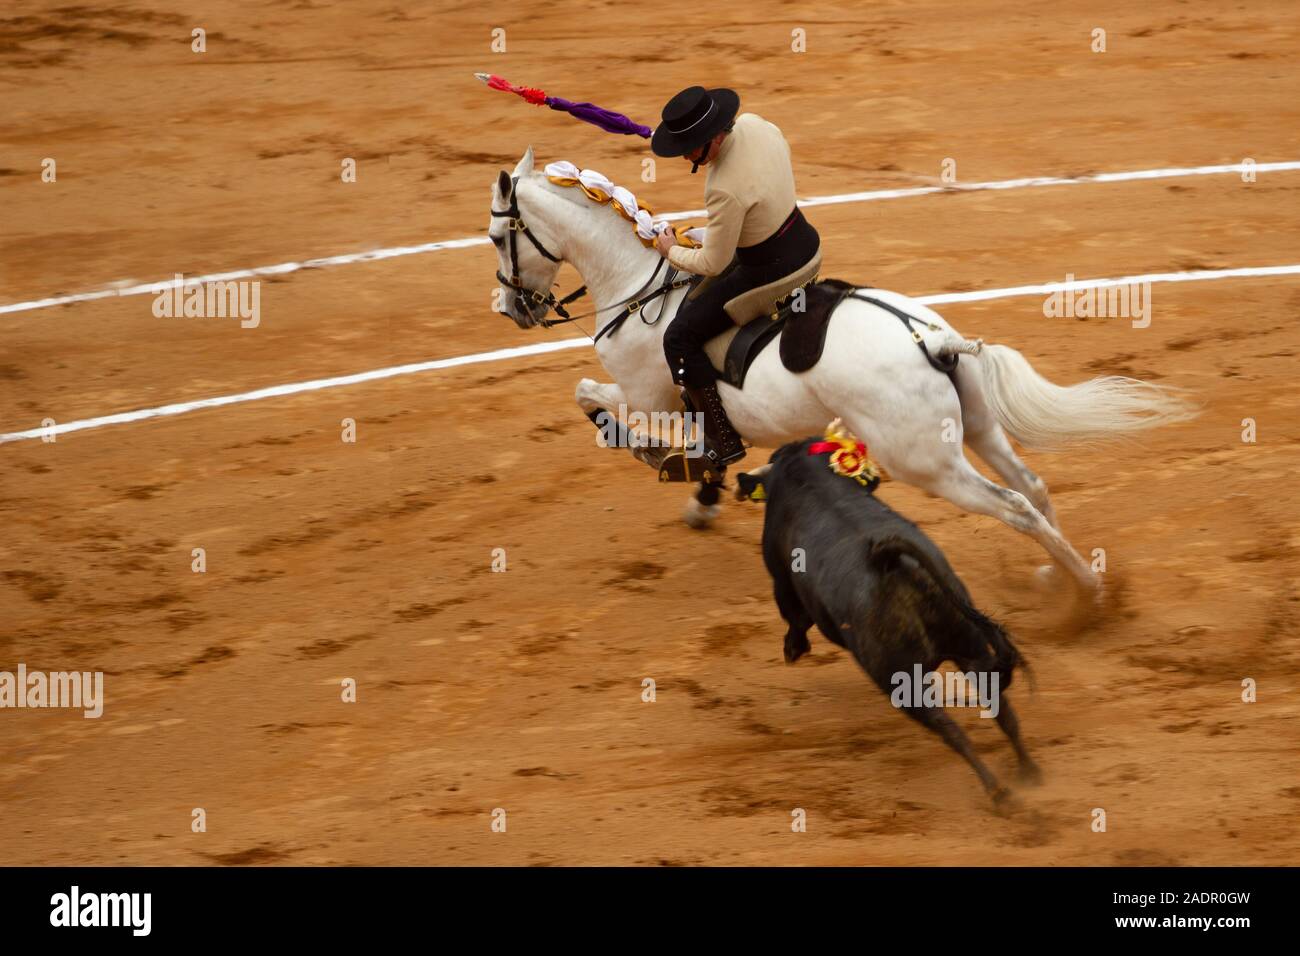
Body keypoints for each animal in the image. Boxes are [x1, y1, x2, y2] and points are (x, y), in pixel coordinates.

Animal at [486, 147, 1196, 599]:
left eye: (497, 238)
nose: (510, 309)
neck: (641, 284)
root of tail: (935, 339)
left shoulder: (646, 393)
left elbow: (591, 398)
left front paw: (658, 460)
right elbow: (704, 447)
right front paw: (701, 496)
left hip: (925, 462)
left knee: (1015, 504)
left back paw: (1085, 592)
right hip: (974, 429)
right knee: (1035, 486)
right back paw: (1059, 576)